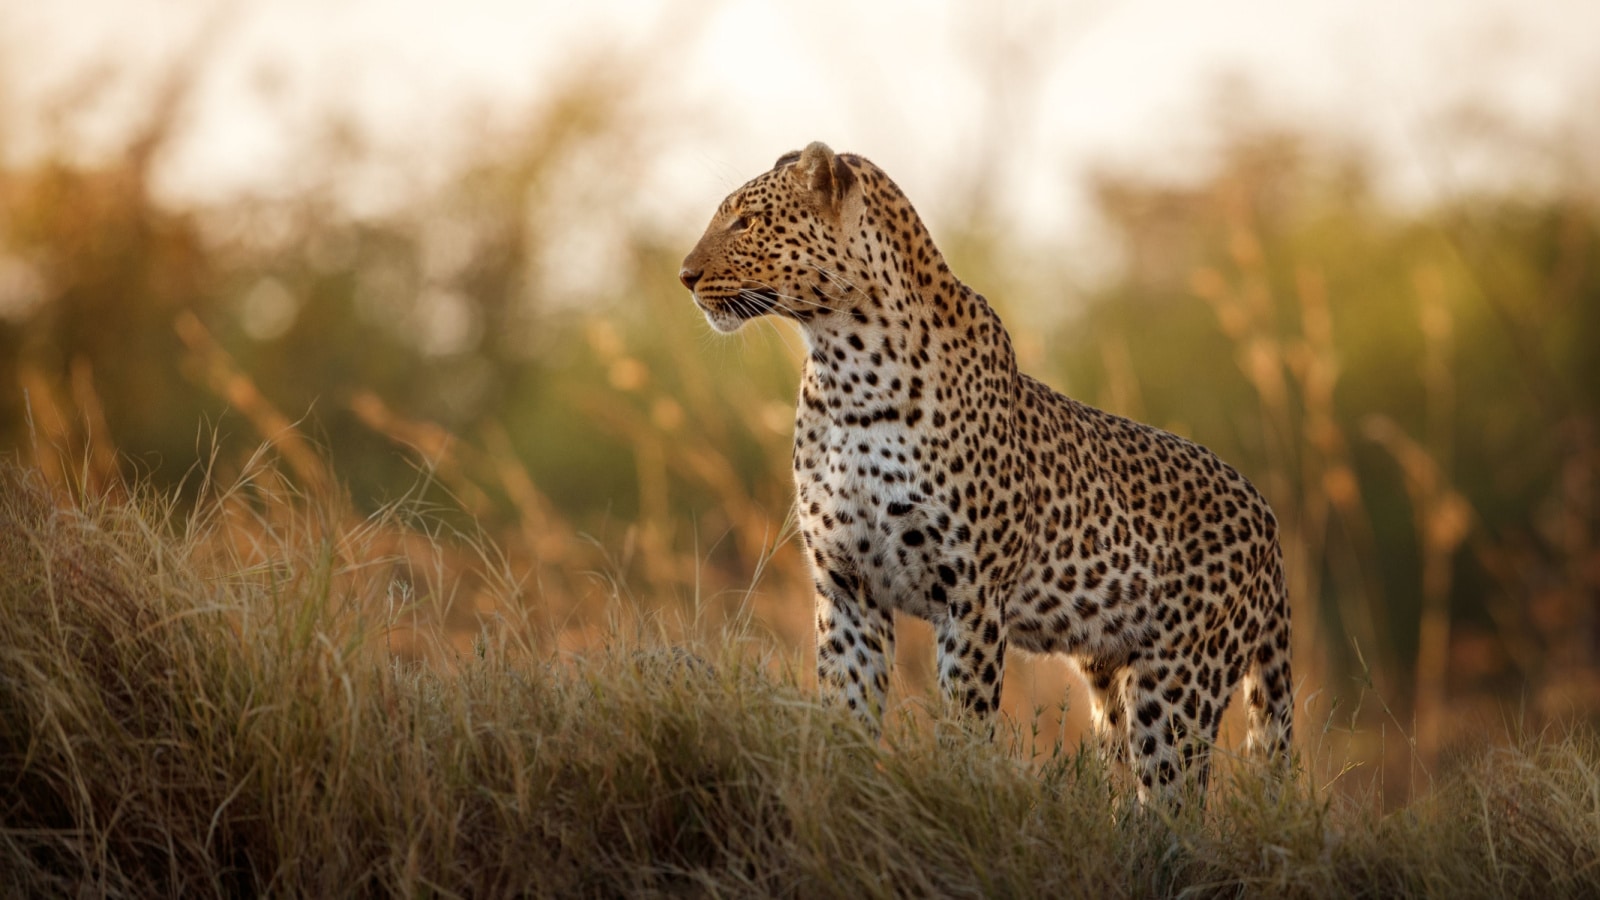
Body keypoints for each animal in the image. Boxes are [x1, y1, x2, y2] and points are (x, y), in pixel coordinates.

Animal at [675, 141, 1286, 797]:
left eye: (746, 222)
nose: (685, 276)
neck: (847, 369)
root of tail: (1267, 515)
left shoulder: (969, 597)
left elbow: (964, 725)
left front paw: (954, 791)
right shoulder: (846, 587)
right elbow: (847, 714)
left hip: (1178, 685)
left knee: (1176, 797)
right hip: (1110, 677)